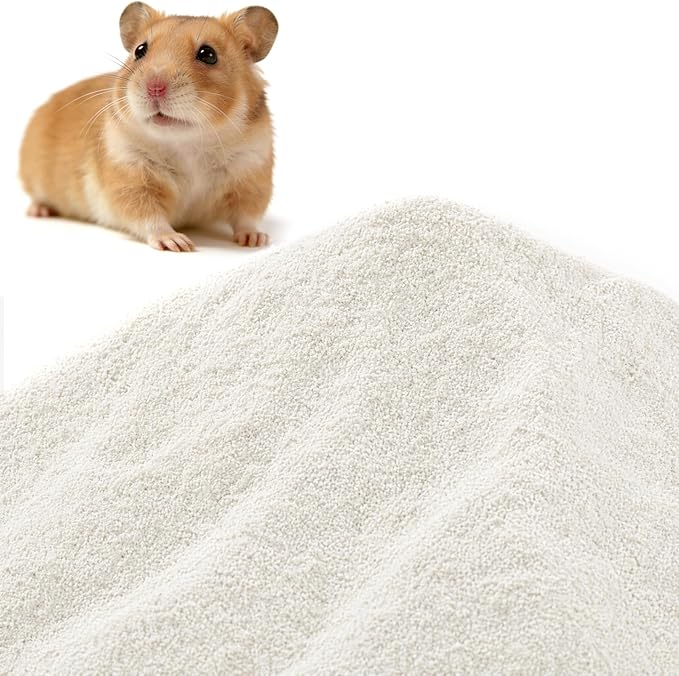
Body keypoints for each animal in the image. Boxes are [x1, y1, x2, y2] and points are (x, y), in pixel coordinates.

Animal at [19, 3, 278, 251]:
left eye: (208, 54)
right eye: (140, 50)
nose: (154, 88)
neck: (188, 142)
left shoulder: (252, 174)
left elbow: (247, 216)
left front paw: (256, 240)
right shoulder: (130, 178)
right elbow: (149, 217)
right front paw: (177, 243)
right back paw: (39, 211)